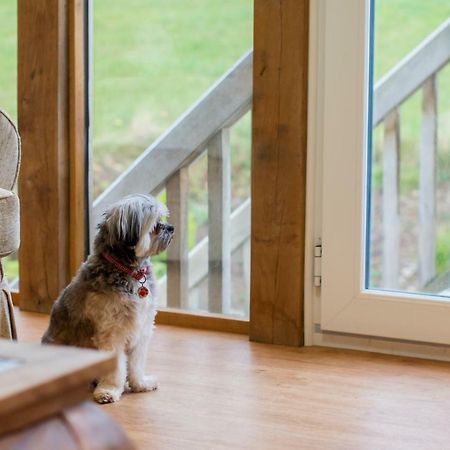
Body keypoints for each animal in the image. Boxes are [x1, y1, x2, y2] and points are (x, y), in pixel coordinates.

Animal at [41, 193, 174, 404]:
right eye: (155, 224)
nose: (171, 228)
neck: (130, 272)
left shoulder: (142, 329)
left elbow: (136, 363)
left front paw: (140, 384)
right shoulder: (111, 334)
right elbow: (115, 369)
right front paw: (109, 390)